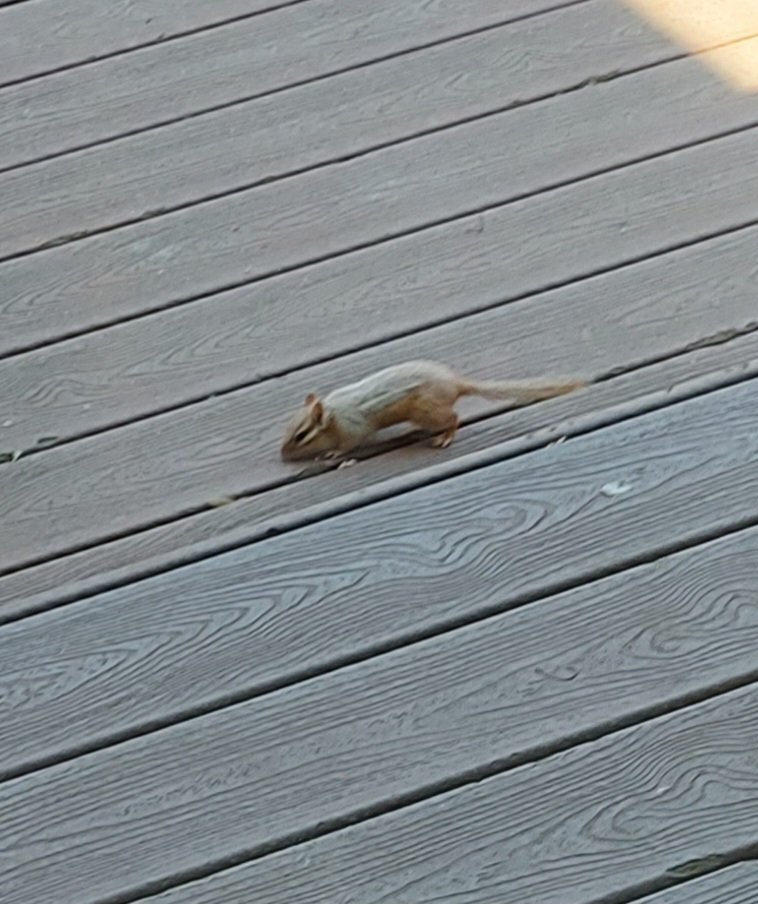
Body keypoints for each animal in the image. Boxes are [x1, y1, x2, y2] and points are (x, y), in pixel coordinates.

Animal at [280, 360, 585, 461]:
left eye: (301, 435)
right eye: (288, 428)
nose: (283, 455)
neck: (333, 414)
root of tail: (456, 384)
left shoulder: (352, 427)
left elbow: (350, 444)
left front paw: (333, 453)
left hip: (429, 412)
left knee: (454, 418)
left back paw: (445, 437)